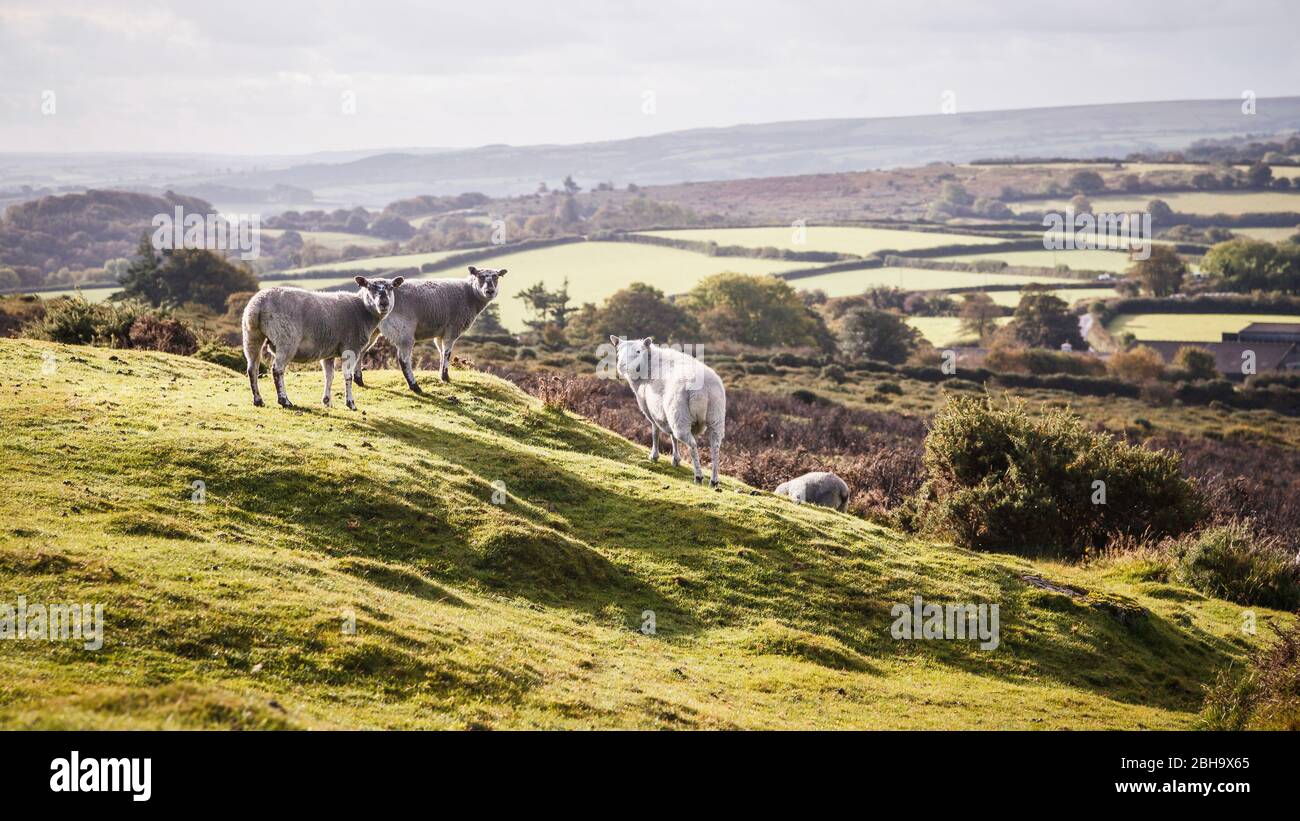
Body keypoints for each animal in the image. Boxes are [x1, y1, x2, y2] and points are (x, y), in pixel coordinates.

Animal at [241, 275, 403, 410]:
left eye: (391, 287)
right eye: (369, 287)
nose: (383, 303)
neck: (361, 310)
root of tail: (258, 304)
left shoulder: (329, 352)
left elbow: (329, 376)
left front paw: (327, 401)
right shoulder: (350, 347)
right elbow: (347, 376)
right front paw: (350, 403)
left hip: (251, 336)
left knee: (252, 368)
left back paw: (258, 400)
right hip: (286, 340)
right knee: (277, 369)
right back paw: (284, 400)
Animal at [356, 262, 506, 392]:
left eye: (496, 276)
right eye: (480, 276)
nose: (490, 291)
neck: (469, 294)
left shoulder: (440, 333)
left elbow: (440, 352)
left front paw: (442, 375)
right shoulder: (452, 329)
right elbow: (447, 353)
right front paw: (445, 377)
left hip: (371, 330)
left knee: (361, 351)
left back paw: (359, 380)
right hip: (403, 330)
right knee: (403, 359)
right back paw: (415, 386)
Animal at [611, 335, 728, 488]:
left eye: (638, 351)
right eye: (618, 351)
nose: (622, 367)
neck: (648, 366)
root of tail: (702, 390)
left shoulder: (651, 411)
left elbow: (655, 432)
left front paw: (654, 456)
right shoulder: (668, 415)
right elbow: (672, 437)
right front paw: (676, 459)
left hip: (679, 415)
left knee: (691, 444)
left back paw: (698, 476)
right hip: (715, 417)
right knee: (715, 446)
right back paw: (714, 480)